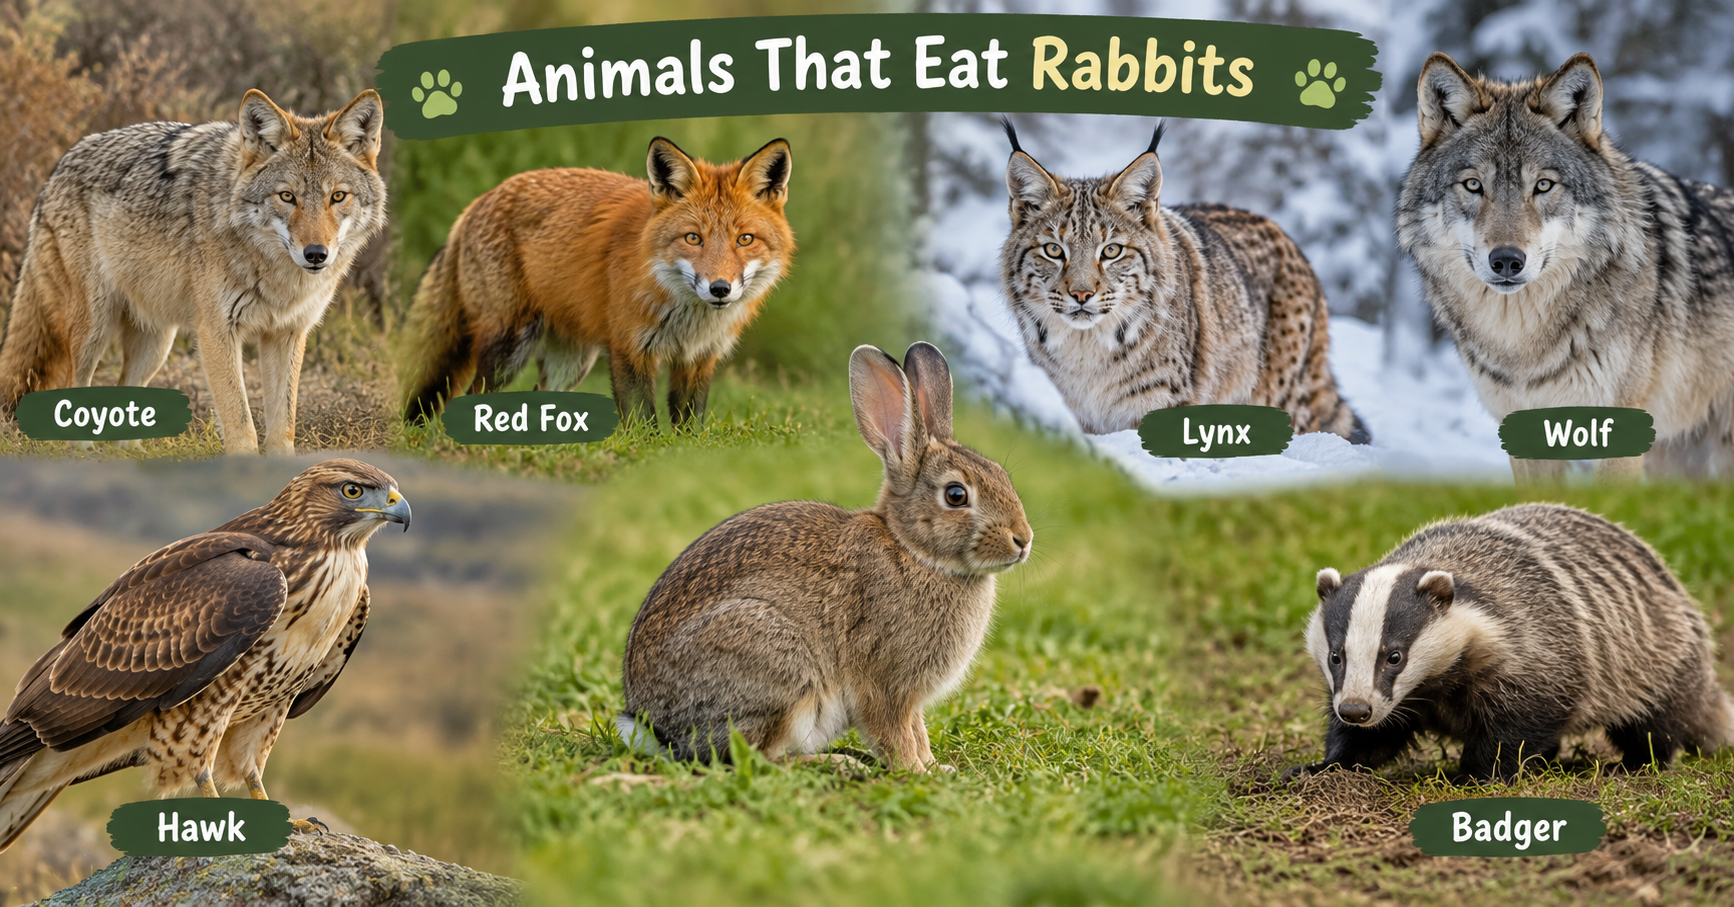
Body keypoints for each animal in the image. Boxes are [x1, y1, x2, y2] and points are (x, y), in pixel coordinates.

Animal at [617, 341, 1033, 772]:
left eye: (1002, 475)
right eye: (956, 495)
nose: (1023, 539)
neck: (914, 552)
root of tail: (657, 728)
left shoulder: (910, 699)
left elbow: (917, 731)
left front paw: (935, 767)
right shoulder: (884, 683)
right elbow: (895, 732)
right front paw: (915, 771)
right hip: (777, 663)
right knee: (759, 756)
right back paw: (840, 764)